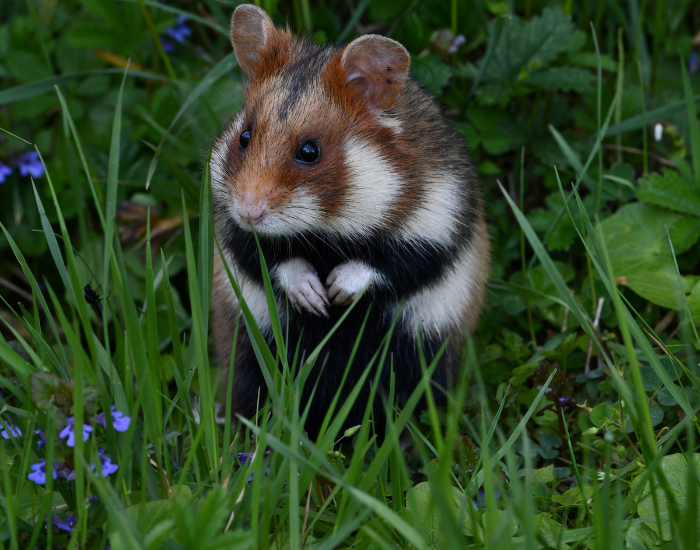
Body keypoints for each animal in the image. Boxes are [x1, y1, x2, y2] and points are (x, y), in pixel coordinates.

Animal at [210, 4, 489, 438]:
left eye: (309, 151)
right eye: (244, 136)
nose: (248, 211)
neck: (328, 228)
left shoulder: (438, 225)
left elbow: (387, 263)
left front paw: (336, 294)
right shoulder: (233, 233)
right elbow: (270, 258)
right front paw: (314, 298)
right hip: (248, 348)